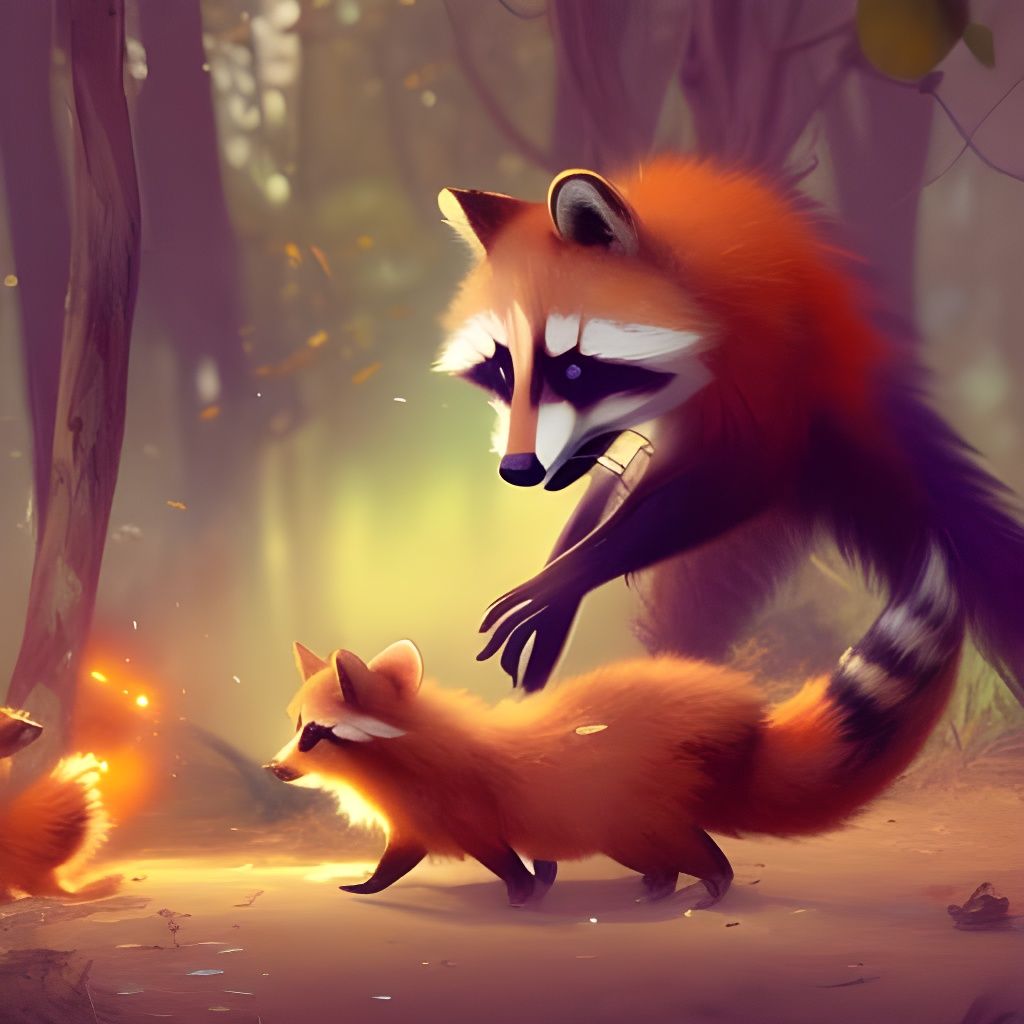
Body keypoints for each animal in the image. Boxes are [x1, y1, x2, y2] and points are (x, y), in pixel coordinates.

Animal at [266, 541, 964, 908]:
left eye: (313, 732)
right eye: (295, 724)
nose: (274, 768)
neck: (406, 749)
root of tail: (741, 723)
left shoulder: (463, 815)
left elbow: (498, 862)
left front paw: (523, 895)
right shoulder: (422, 823)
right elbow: (402, 861)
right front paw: (372, 882)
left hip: (629, 817)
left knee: (697, 849)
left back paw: (709, 884)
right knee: (674, 852)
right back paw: (663, 885)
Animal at [435, 157, 1024, 697]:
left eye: (574, 370)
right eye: (503, 370)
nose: (517, 470)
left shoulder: (761, 365)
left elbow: (741, 474)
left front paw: (565, 577)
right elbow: (611, 481)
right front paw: (565, 570)